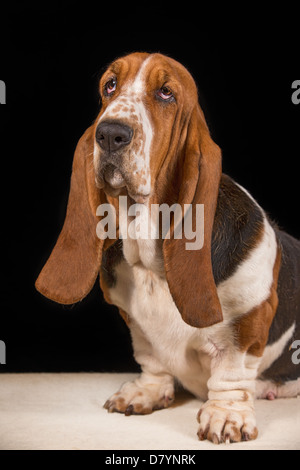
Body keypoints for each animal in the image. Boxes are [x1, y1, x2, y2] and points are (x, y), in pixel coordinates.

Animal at [35, 52, 300, 444]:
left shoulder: (250, 319)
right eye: (109, 86)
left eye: (166, 93)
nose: (110, 134)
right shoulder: (135, 323)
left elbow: (232, 372)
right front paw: (147, 391)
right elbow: (151, 356)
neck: (151, 266)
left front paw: (226, 416)